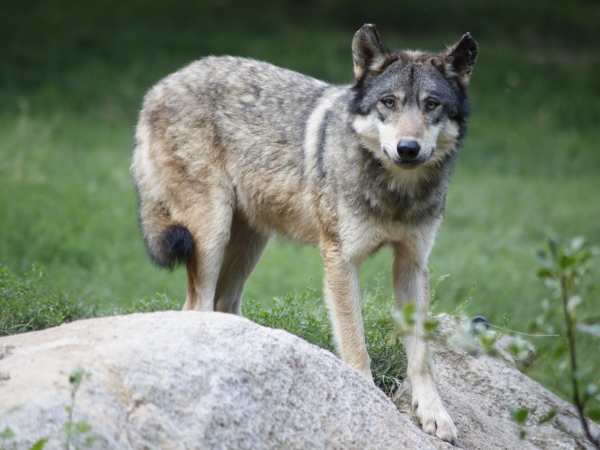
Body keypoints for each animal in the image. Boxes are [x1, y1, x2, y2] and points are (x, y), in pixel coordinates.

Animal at [134, 24, 476, 442]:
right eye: (388, 102)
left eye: (431, 105)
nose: (407, 148)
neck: (395, 194)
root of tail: (159, 86)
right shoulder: (341, 261)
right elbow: (355, 344)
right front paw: (366, 401)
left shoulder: (412, 264)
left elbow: (422, 355)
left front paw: (433, 413)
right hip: (211, 232)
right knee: (194, 308)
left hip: (249, 245)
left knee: (222, 306)